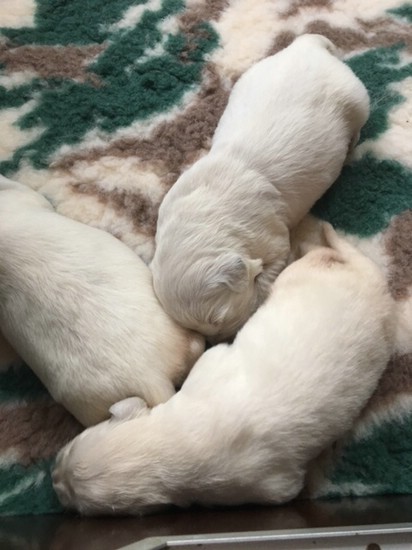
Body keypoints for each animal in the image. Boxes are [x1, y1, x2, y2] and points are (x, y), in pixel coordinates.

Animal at [53, 224, 393, 515]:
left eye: (71, 447)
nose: (53, 478)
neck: (175, 447)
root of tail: (376, 289)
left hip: (300, 276)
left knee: (317, 256)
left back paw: (308, 241)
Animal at [150, 34, 370, 342]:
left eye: (220, 319)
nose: (220, 341)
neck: (207, 214)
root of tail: (305, 45)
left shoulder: (272, 238)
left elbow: (270, 271)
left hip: (356, 97)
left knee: (358, 124)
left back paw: (352, 148)